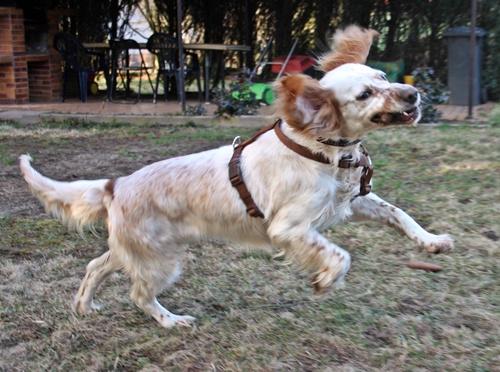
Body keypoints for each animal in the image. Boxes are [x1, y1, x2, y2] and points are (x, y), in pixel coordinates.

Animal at [19, 26, 454, 328]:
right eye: (365, 94)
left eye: (382, 76)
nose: (413, 95)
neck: (324, 151)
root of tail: (116, 184)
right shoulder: (288, 228)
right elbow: (340, 256)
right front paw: (325, 279)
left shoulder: (354, 201)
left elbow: (400, 214)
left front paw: (432, 241)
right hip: (159, 260)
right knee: (139, 295)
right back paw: (171, 321)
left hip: (137, 250)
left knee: (96, 266)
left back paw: (84, 305)